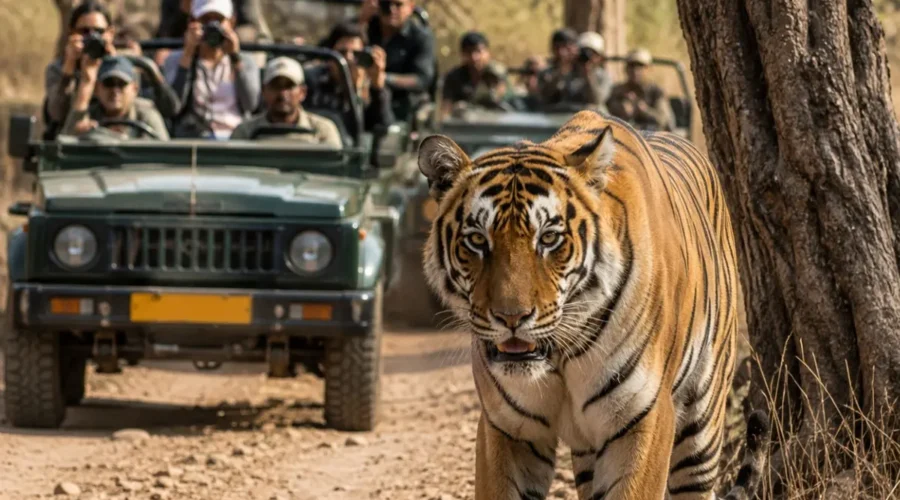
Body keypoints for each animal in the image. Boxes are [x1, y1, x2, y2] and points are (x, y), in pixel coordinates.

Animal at [417, 110, 768, 500]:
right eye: (477, 240)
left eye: (549, 238)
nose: (512, 317)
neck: (558, 357)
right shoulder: (506, 426)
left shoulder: (644, 418)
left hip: (701, 426)